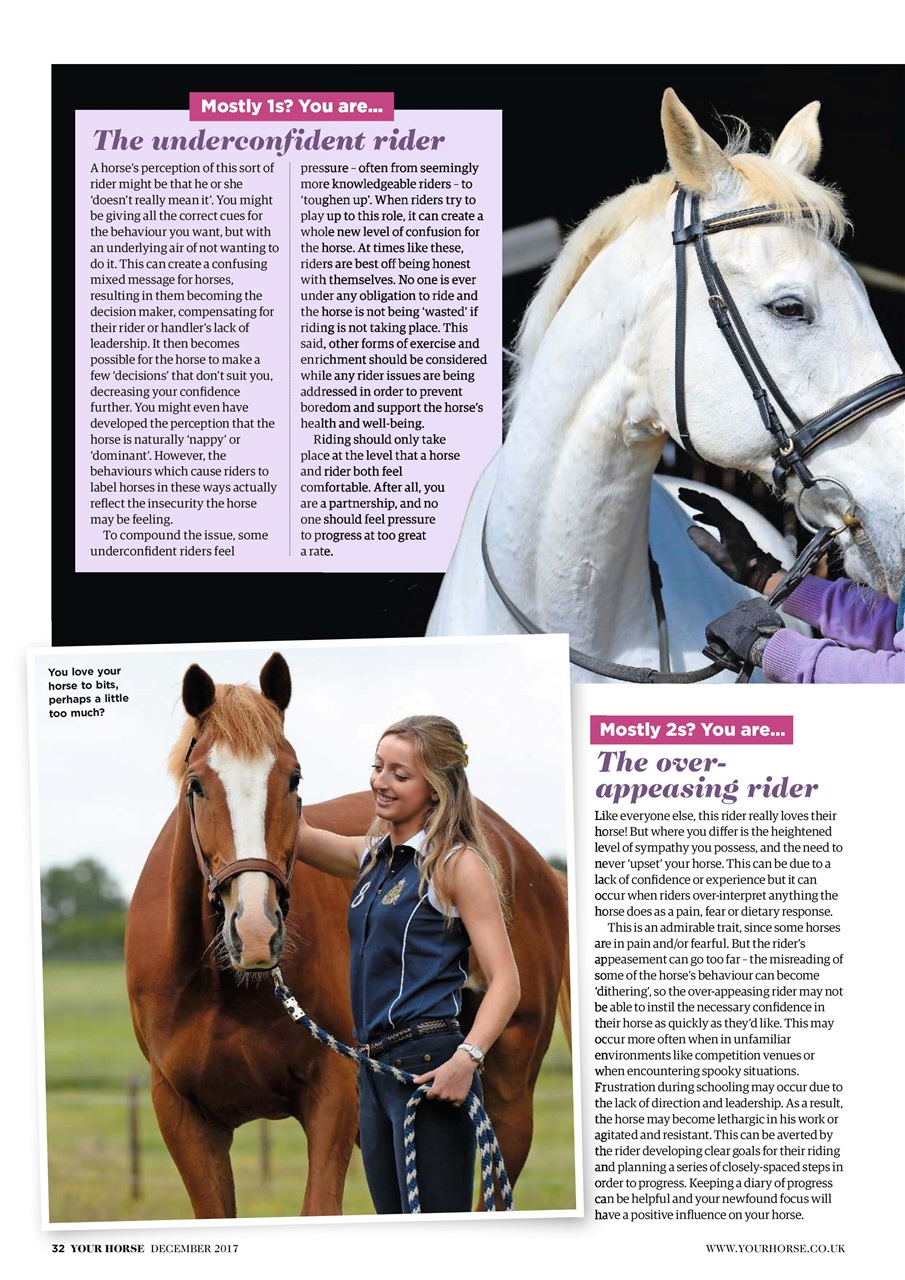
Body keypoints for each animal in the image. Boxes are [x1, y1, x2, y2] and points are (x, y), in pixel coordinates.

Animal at [125, 653, 569, 1217]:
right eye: (197, 784)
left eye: (293, 778)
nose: (255, 932)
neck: (221, 989)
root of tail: (519, 852)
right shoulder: (181, 1114)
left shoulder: (334, 1096)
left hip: (507, 1102)